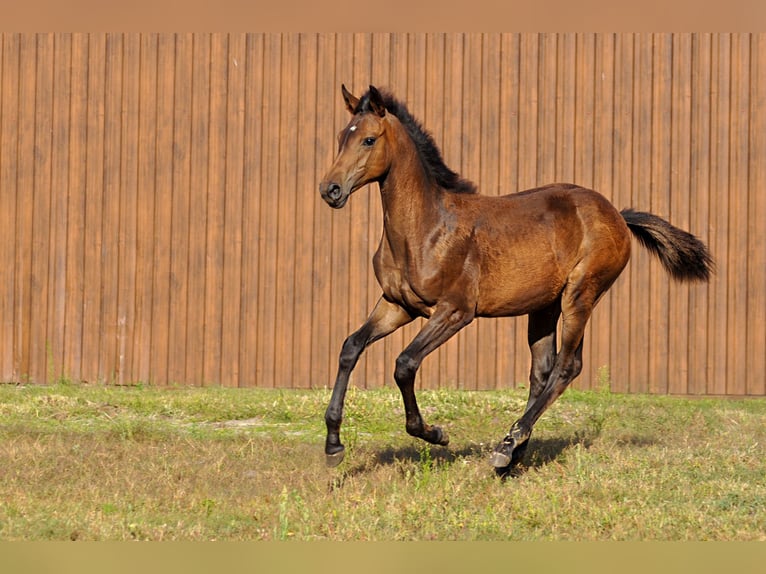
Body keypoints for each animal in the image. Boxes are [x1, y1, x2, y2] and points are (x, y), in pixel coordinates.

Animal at [318, 82, 712, 476]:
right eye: (340, 137)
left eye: (368, 139)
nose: (330, 190)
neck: (426, 227)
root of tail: (616, 213)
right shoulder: (397, 305)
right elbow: (350, 346)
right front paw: (334, 444)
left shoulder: (455, 311)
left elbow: (404, 364)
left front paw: (435, 433)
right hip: (544, 307)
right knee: (542, 372)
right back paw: (512, 451)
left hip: (581, 295)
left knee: (567, 366)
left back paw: (508, 445)